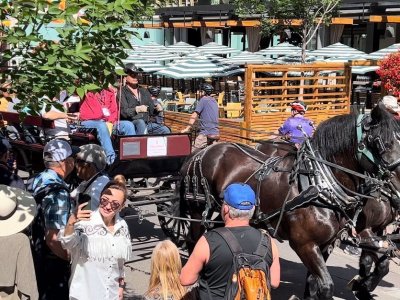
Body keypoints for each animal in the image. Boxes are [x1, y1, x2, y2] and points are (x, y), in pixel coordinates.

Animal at [179, 103, 400, 300]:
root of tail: (203, 151)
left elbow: (316, 283)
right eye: (380, 142)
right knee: (193, 240)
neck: (318, 185)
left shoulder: (328, 243)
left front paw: (362, 286)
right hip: (197, 208)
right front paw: (361, 286)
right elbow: (327, 285)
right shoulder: (305, 244)